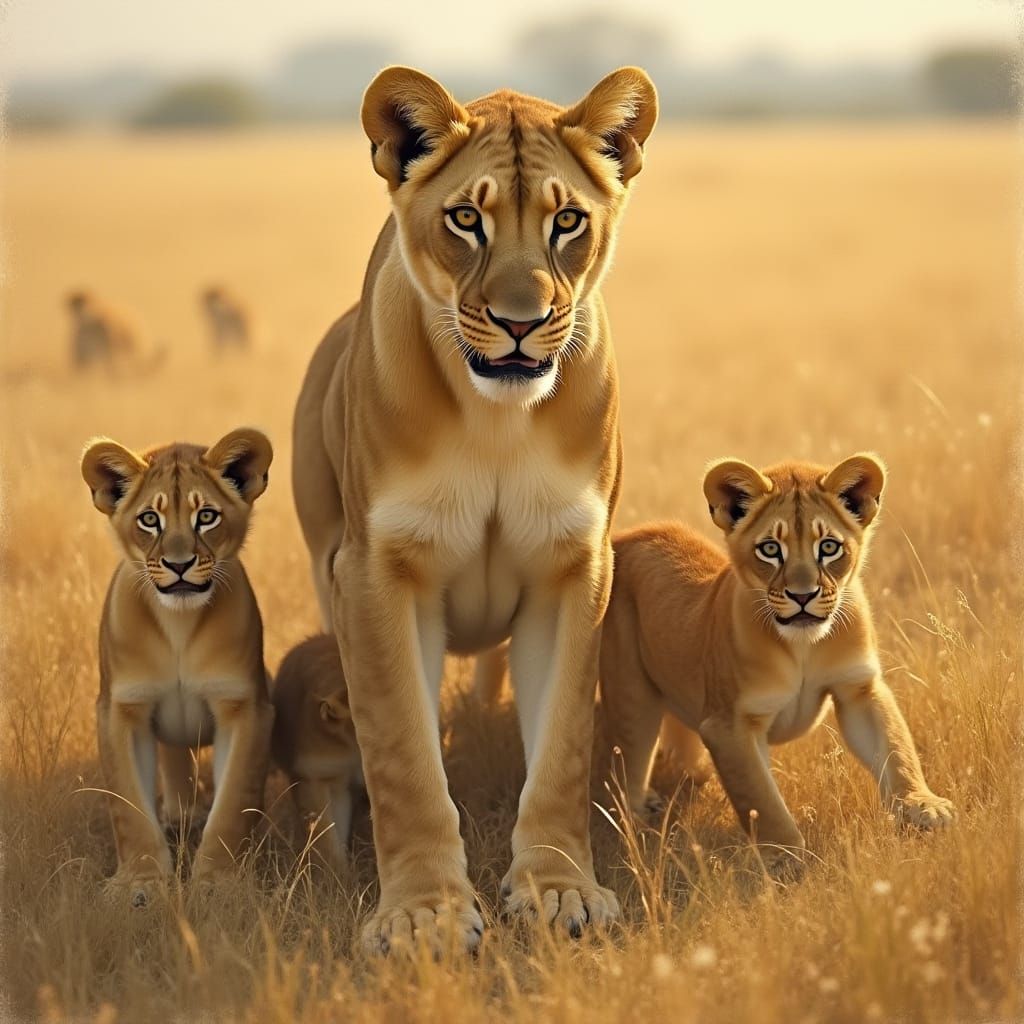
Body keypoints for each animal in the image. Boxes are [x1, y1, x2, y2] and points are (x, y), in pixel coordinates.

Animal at [81, 428, 275, 905]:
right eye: (150, 519)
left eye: (206, 516)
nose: (179, 564)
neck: (179, 625)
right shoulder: (120, 709)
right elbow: (129, 807)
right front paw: (140, 884)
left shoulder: (246, 707)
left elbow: (233, 804)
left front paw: (220, 883)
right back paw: (179, 817)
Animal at [292, 65, 657, 953]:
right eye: (466, 219)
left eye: (567, 220)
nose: (521, 324)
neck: (497, 419)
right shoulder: (374, 571)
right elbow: (404, 754)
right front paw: (423, 915)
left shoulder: (573, 567)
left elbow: (561, 748)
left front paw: (560, 893)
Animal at [599, 454, 954, 875]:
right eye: (770, 549)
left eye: (829, 547)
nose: (803, 596)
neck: (803, 646)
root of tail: (625, 535)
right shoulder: (729, 726)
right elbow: (761, 799)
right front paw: (785, 856)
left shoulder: (858, 688)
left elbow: (896, 748)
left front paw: (922, 806)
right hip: (632, 697)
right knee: (626, 766)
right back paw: (639, 822)